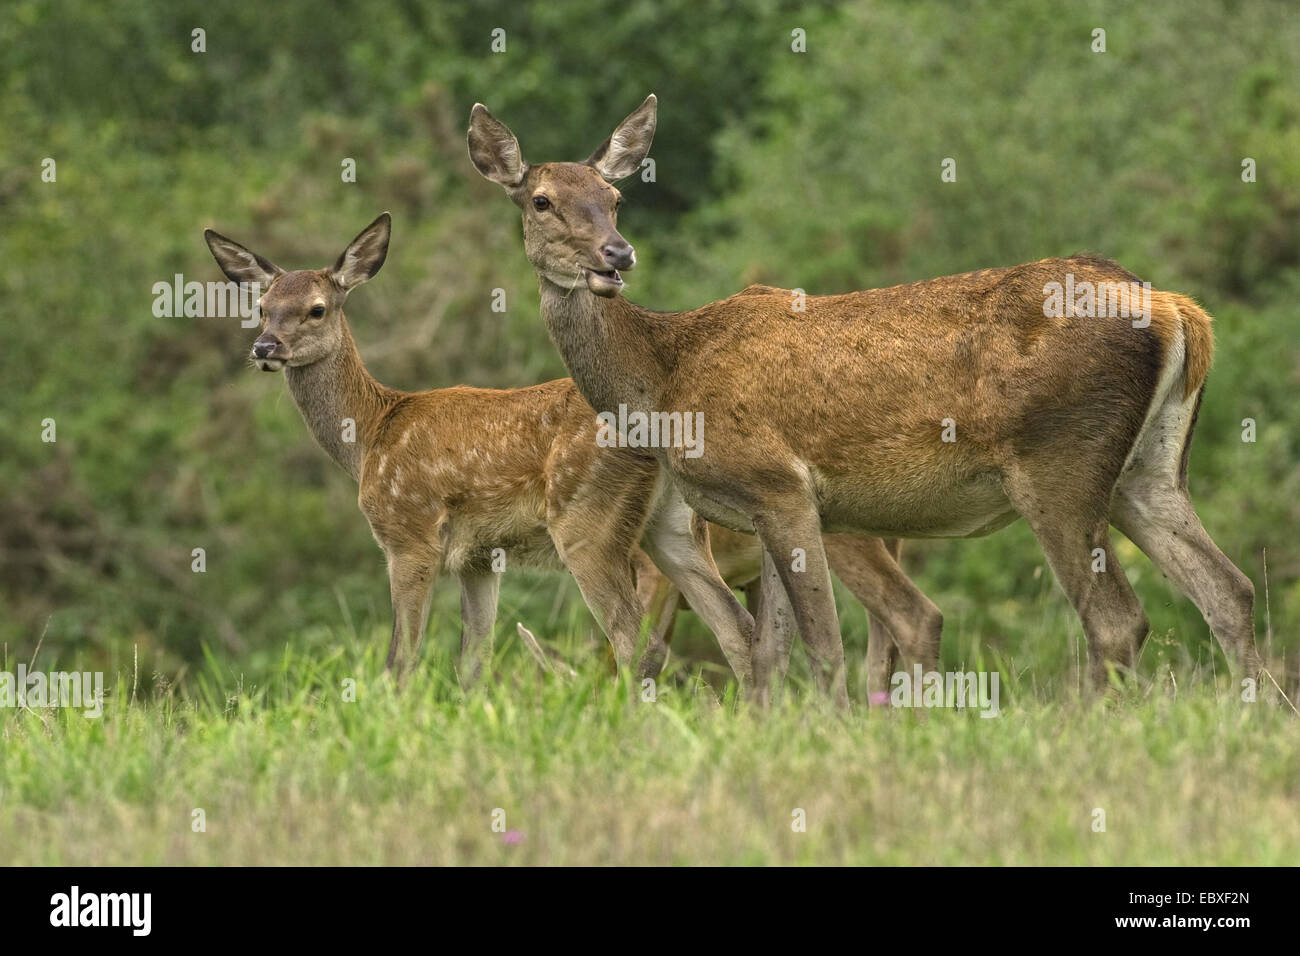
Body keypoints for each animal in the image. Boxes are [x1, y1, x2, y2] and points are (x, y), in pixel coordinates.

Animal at [465, 95, 1258, 712]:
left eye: (616, 198)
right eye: (542, 201)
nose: (616, 255)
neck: (664, 383)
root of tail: (1178, 310)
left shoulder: (778, 482)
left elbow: (819, 645)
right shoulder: (760, 508)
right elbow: (768, 652)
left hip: (1058, 461)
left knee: (1117, 620)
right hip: (1148, 470)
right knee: (1230, 590)